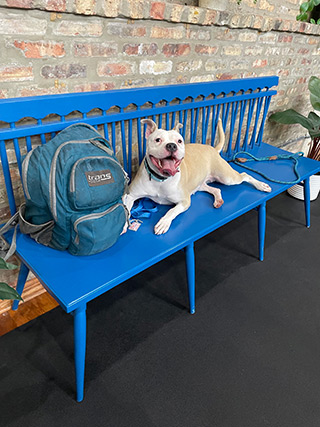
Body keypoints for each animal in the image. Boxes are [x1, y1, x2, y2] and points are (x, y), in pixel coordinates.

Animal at [122, 118, 270, 236]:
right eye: (158, 140)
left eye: (179, 141)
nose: (172, 146)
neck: (160, 180)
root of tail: (213, 148)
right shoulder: (130, 195)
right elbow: (125, 209)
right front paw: (122, 224)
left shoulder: (184, 201)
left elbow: (172, 211)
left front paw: (163, 223)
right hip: (200, 185)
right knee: (216, 189)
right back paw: (218, 200)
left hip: (227, 178)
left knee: (245, 175)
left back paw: (261, 185)